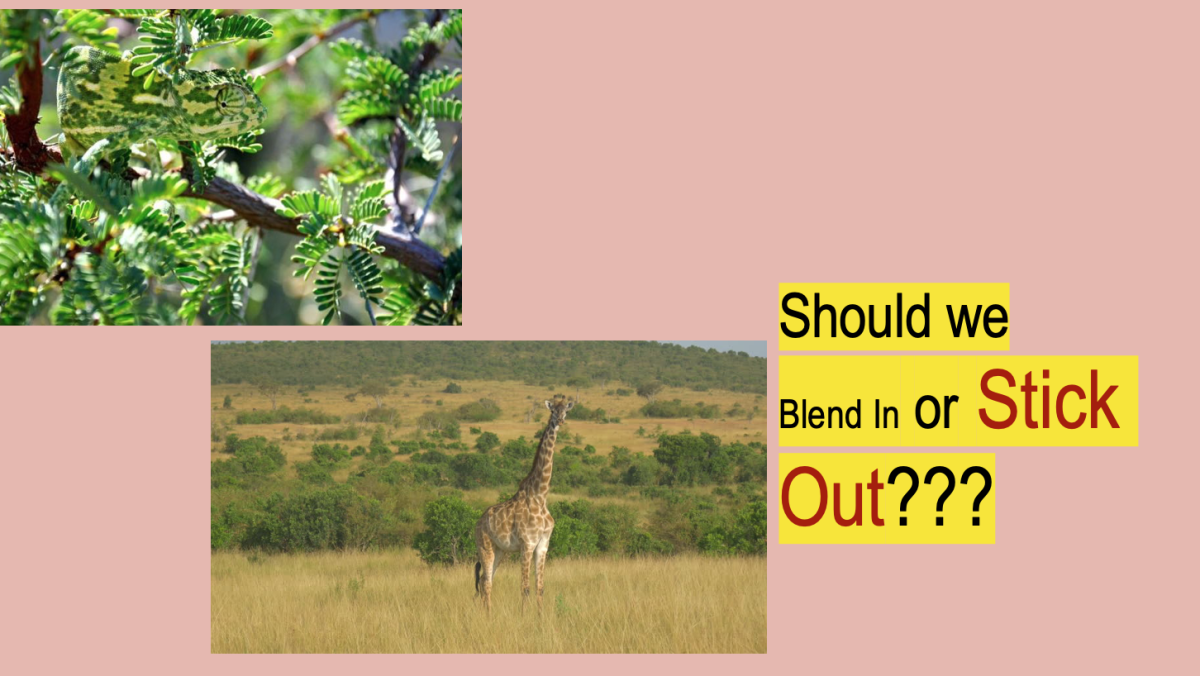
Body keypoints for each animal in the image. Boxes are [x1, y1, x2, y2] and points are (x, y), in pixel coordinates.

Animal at [473, 396, 574, 612]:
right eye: (552, 410)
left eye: (566, 411)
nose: (560, 421)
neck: (540, 496)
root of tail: (478, 522)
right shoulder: (527, 544)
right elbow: (525, 587)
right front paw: (523, 616)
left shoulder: (543, 544)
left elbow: (540, 587)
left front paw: (540, 616)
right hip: (484, 546)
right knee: (485, 583)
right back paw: (488, 615)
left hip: (500, 550)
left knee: (487, 580)